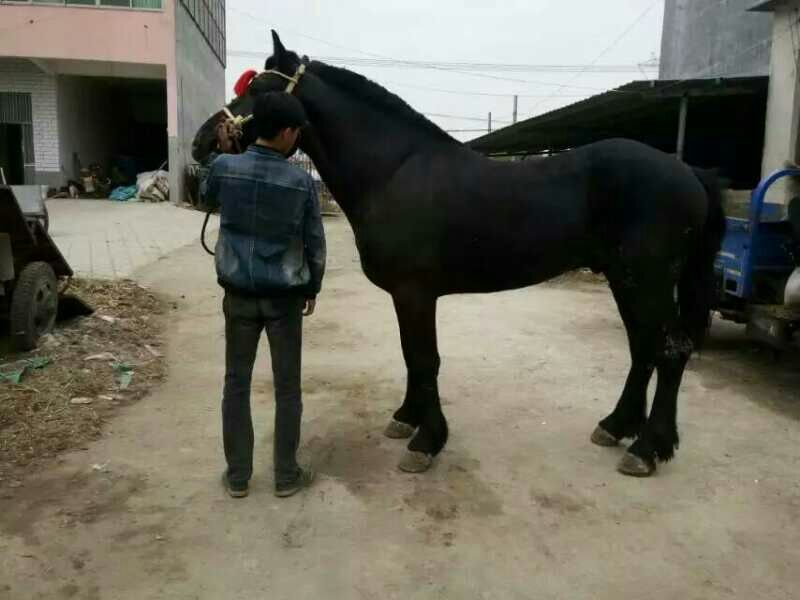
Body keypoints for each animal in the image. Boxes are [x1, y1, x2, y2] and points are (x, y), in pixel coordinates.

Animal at [192, 31, 725, 477]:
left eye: (262, 89)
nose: (203, 142)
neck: (393, 171)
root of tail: (687, 170)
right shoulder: (405, 296)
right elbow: (411, 357)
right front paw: (407, 419)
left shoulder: (415, 293)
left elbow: (424, 358)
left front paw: (427, 441)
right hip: (624, 278)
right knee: (643, 348)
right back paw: (617, 427)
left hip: (648, 279)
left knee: (669, 350)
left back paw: (649, 448)